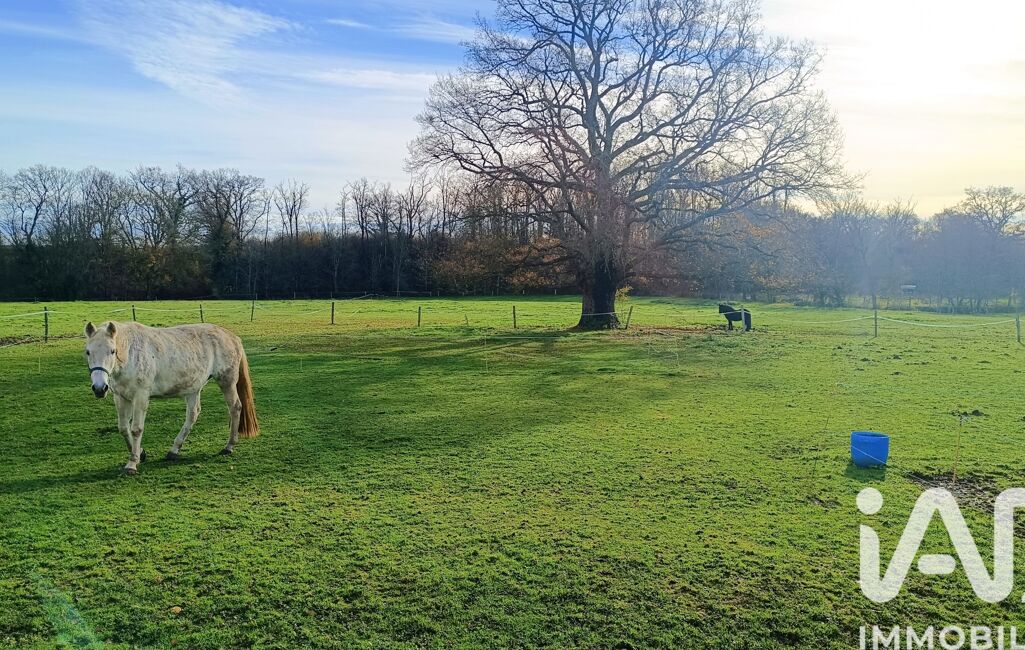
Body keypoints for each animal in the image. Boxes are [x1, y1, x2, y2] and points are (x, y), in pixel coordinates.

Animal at [84, 321, 258, 475]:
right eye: (88, 352)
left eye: (112, 351)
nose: (99, 388)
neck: (131, 354)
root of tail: (232, 337)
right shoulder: (120, 397)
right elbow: (123, 428)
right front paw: (140, 453)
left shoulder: (141, 396)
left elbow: (136, 429)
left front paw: (132, 463)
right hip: (193, 389)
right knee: (193, 415)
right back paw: (174, 451)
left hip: (226, 382)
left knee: (235, 408)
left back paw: (229, 446)